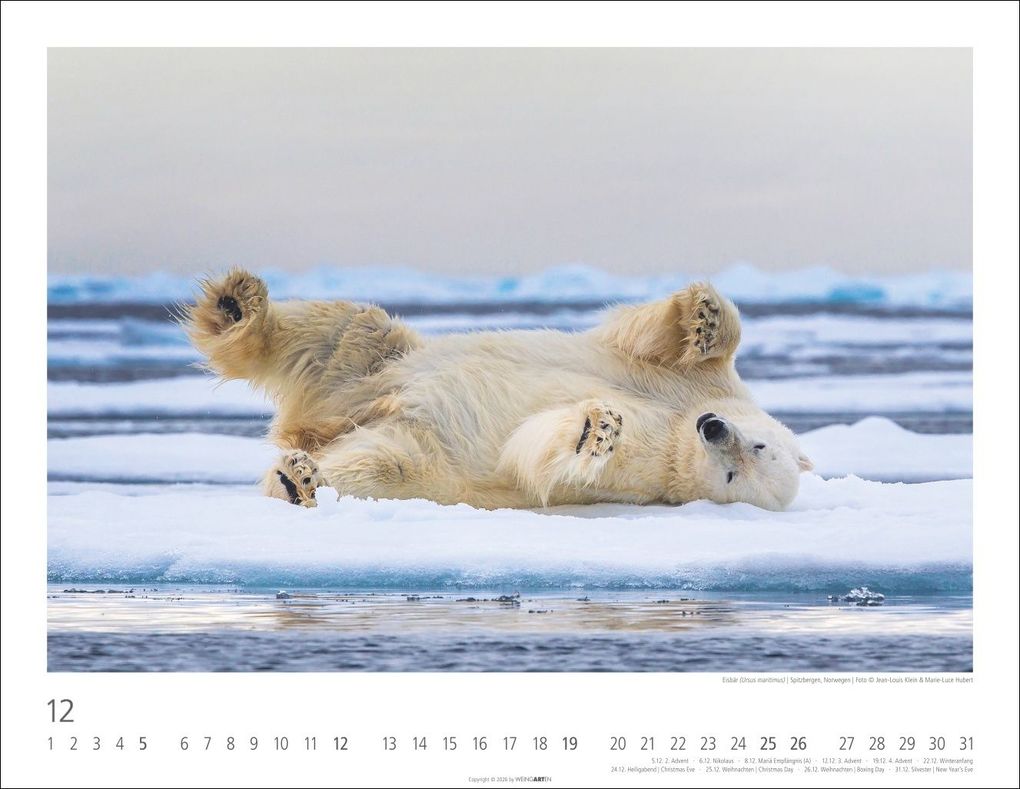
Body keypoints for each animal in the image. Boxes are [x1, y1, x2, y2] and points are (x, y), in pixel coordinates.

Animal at [184, 269, 813, 511]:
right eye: (758, 444)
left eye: (734, 475)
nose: (715, 429)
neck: (682, 423)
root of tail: (317, 425)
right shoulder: (695, 385)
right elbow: (650, 341)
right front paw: (704, 315)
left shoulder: (654, 468)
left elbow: (539, 452)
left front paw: (597, 430)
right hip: (376, 366)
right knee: (346, 330)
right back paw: (237, 305)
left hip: (419, 456)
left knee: (376, 466)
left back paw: (299, 479)